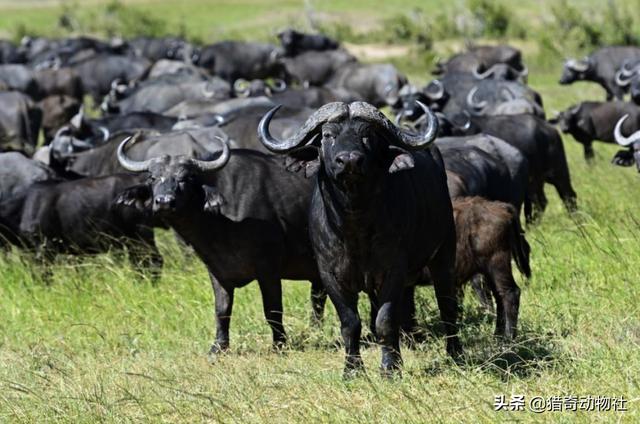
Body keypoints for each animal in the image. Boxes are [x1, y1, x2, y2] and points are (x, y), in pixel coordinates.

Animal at [115, 137, 324, 354]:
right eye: (153, 178)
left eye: (186, 178)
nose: (164, 202)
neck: (220, 222)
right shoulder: (216, 269)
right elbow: (222, 310)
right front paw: (218, 347)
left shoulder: (268, 269)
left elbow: (272, 309)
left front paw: (279, 344)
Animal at [258, 101, 462, 376]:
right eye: (327, 135)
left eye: (367, 135)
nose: (349, 161)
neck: (354, 229)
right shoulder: (329, 275)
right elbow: (350, 322)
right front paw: (352, 369)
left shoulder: (393, 270)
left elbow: (386, 320)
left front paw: (390, 368)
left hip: (444, 253)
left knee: (447, 305)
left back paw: (455, 354)